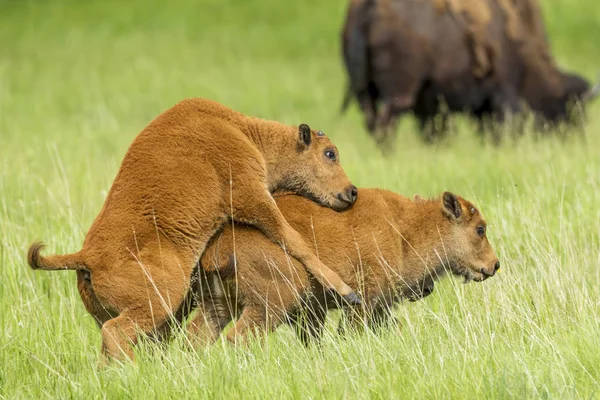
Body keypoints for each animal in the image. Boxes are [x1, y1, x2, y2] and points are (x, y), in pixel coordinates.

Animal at [25, 97, 358, 362]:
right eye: (330, 153)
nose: (352, 191)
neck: (245, 134)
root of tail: (87, 255)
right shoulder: (253, 197)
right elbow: (294, 239)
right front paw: (346, 290)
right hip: (162, 298)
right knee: (117, 333)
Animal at [190, 189, 500, 346]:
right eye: (480, 229)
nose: (494, 265)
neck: (404, 229)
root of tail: (218, 244)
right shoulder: (363, 301)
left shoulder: (378, 306)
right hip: (274, 300)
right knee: (238, 336)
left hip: (219, 302)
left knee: (197, 336)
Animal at [340, 0, 596, 146]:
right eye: (569, 110)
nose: (571, 141)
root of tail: (367, 8)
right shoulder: (504, 92)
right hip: (401, 93)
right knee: (385, 124)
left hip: (364, 91)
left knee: (373, 122)